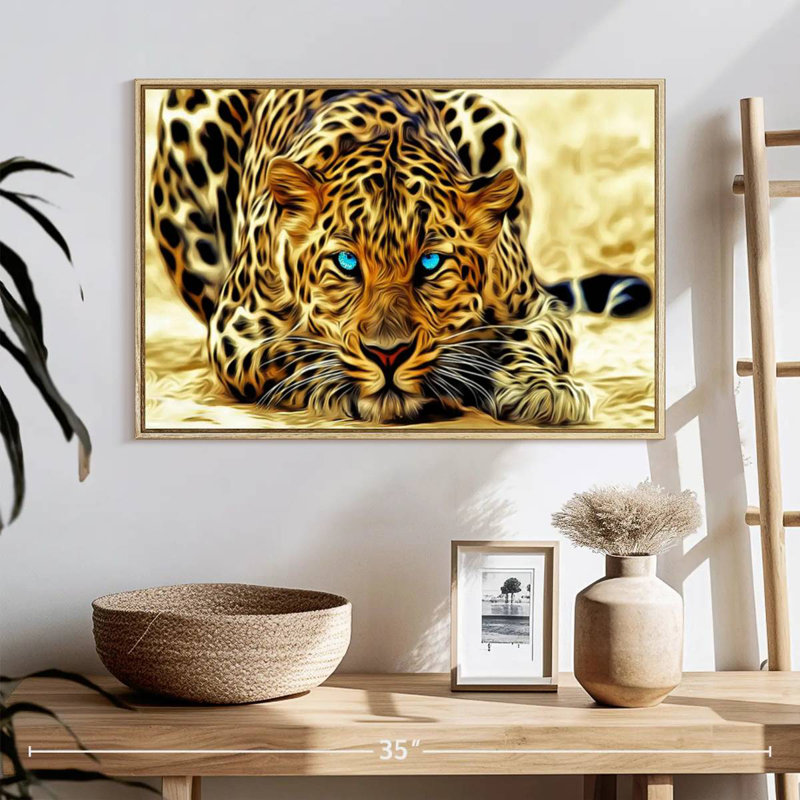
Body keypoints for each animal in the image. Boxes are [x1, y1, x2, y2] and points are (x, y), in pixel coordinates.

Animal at [149, 87, 651, 426]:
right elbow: (294, 349)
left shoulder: (537, 308)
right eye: (347, 263)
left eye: (430, 263)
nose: (387, 355)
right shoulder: (236, 328)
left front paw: (541, 387)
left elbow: (530, 340)